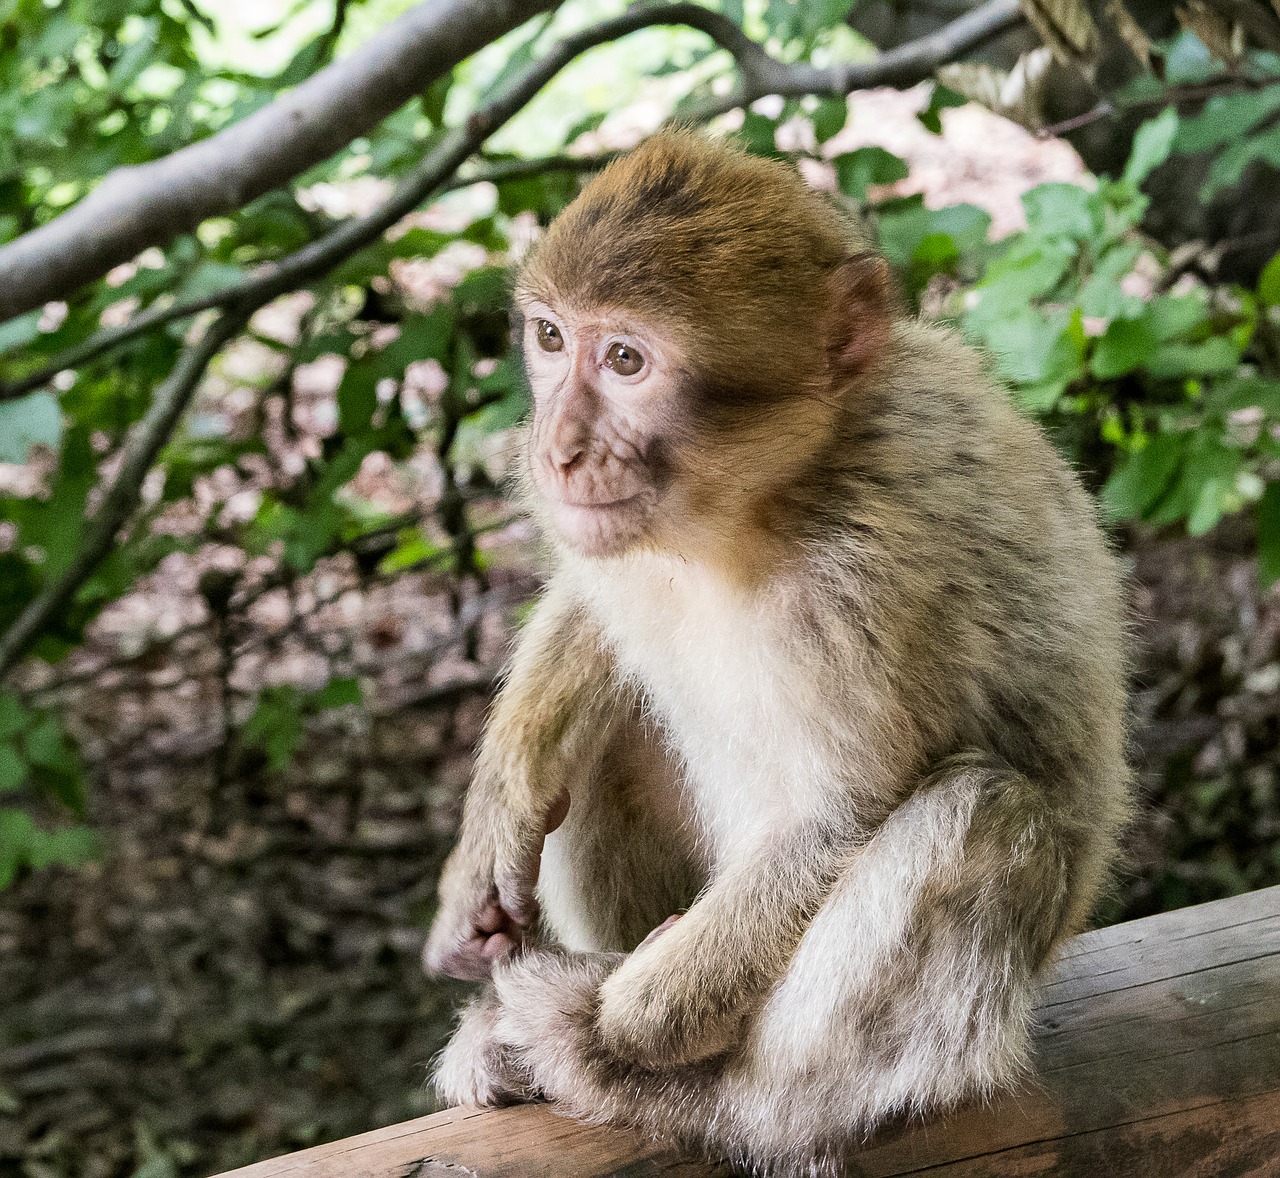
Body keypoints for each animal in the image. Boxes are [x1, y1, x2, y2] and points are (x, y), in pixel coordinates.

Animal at [422, 131, 1131, 1178]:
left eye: (626, 360)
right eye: (551, 339)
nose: (556, 449)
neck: (763, 500)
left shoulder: (865, 573)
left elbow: (835, 818)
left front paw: (625, 1019)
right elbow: (595, 601)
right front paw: (499, 806)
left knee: (986, 815)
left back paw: (682, 1091)